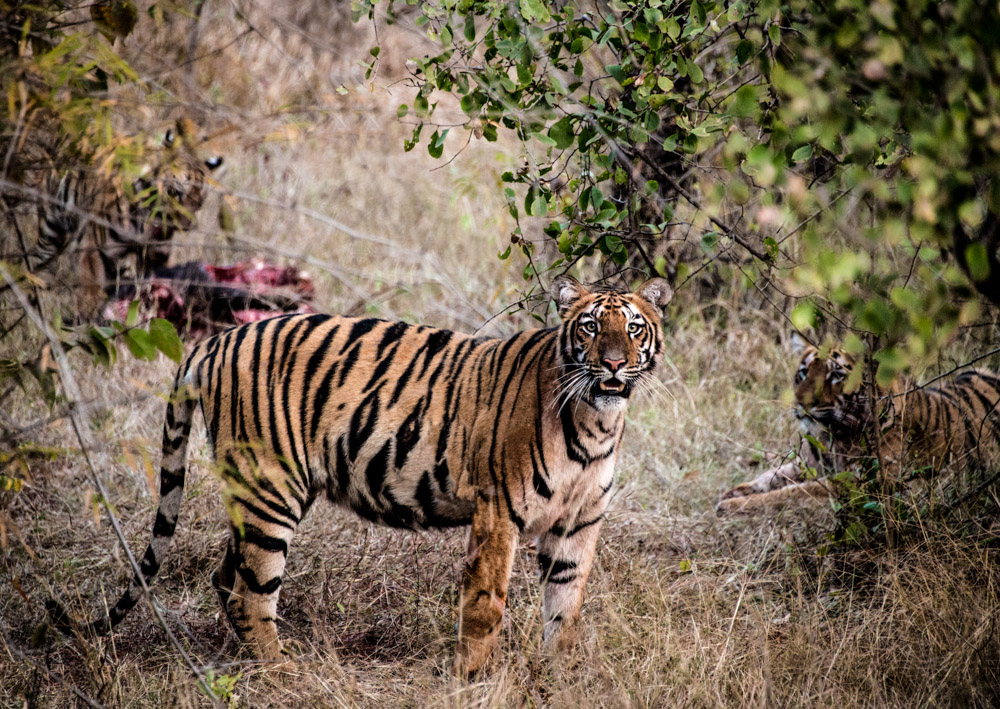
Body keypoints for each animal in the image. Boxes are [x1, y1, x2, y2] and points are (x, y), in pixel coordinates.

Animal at [47, 274, 672, 672]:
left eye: (633, 329)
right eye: (589, 328)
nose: (613, 364)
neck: (596, 422)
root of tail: (216, 338)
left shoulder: (578, 526)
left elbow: (565, 611)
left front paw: (557, 679)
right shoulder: (499, 515)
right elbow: (485, 608)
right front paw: (474, 682)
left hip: (258, 493)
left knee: (227, 578)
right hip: (271, 489)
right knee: (252, 591)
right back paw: (282, 675)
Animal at [716, 338, 1000, 516]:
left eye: (836, 375)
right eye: (804, 372)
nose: (802, 403)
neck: (832, 434)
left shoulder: (860, 484)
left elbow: (793, 492)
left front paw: (732, 506)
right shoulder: (810, 463)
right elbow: (772, 474)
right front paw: (734, 491)